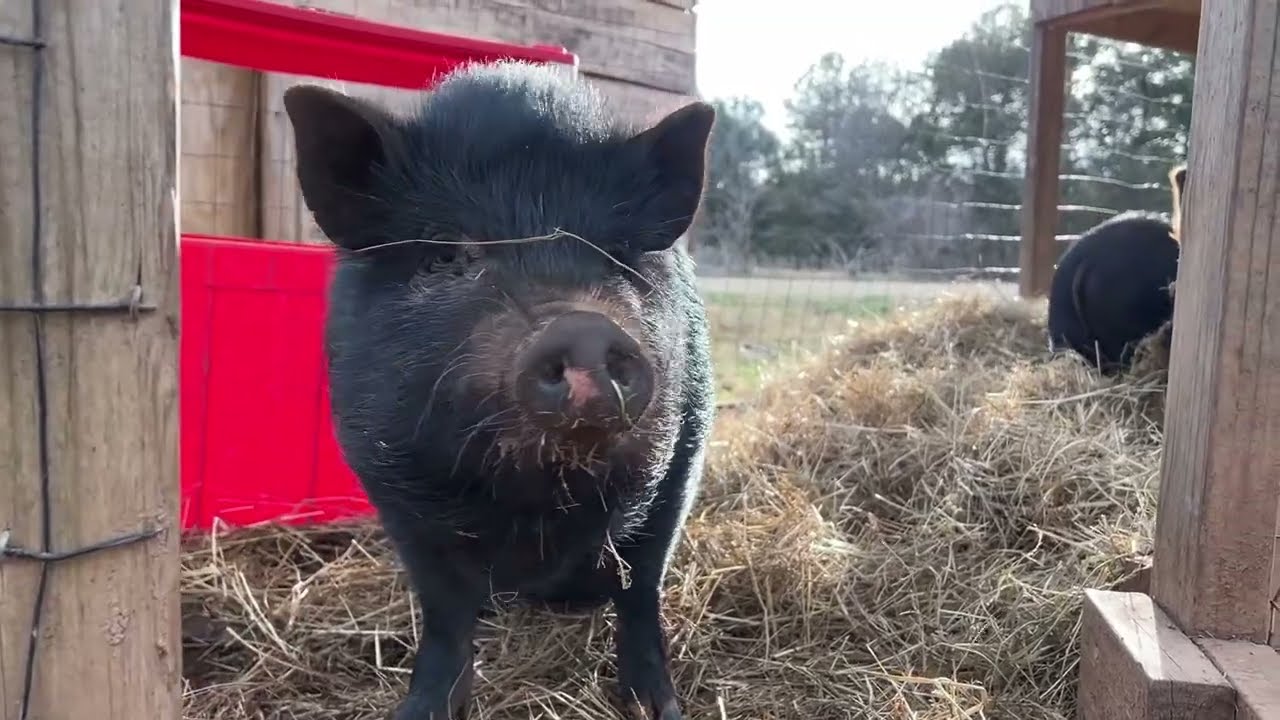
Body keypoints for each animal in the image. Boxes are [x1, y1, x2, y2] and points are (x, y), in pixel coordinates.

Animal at [282, 60, 716, 720]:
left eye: (616, 255)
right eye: (444, 257)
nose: (583, 328)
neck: (533, 501)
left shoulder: (681, 459)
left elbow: (642, 591)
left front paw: (658, 707)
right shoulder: (391, 487)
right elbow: (444, 614)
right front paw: (419, 709)